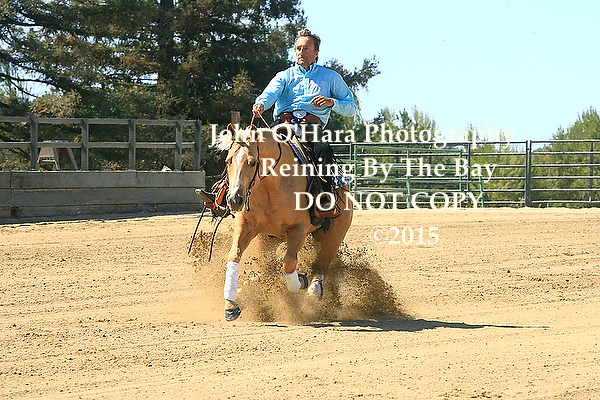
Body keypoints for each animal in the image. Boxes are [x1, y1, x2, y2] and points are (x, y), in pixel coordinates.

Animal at [213, 123, 353, 321]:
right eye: (228, 161)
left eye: (252, 162)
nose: (234, 199)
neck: (270, 186)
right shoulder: (245, 225)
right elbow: (234, 255)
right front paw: (231, 304)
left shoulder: (298, 229)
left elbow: (289, 263)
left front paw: (300, 281)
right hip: (267, 239)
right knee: (267, 268)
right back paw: (245, 290)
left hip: (333, 235)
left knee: (322, 265)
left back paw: (314, 292)